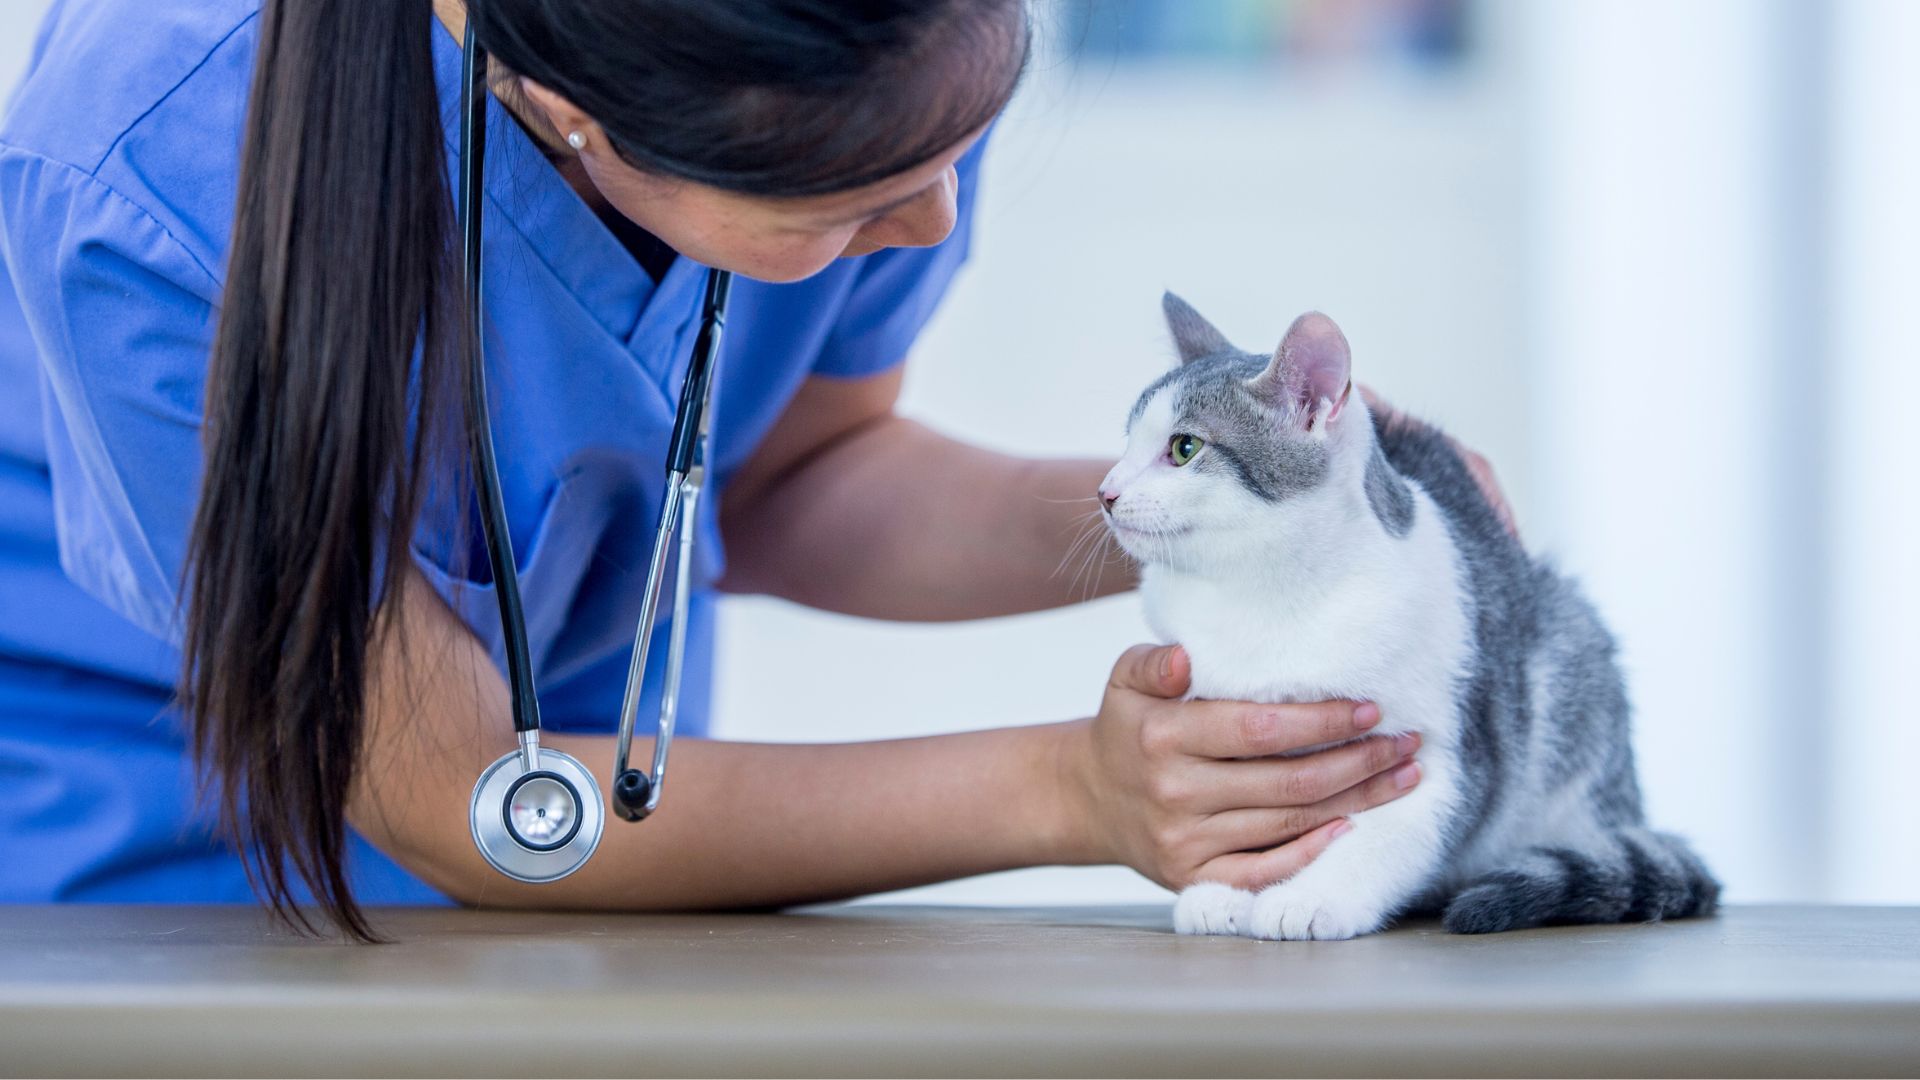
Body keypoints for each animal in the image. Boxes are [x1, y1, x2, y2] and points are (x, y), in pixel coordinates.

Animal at [1105, 292, 1720, 933]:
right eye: (1125, 443)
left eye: (1184, 448)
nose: (1105, 491)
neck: (1265, 595)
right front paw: (1228, 889)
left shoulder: (1449, 754)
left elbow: (1386, 837)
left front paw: (1312, 898)